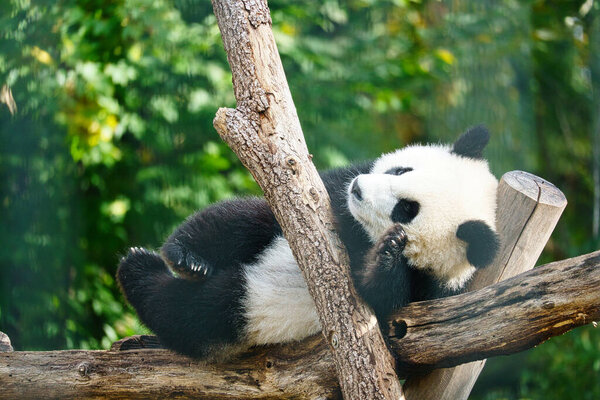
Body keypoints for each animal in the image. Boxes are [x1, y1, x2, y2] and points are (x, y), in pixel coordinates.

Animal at [116, 126, 496, 360]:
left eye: (405, 209)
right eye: (400, 171)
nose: (359, 190)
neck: (359, 231)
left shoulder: (428, 288)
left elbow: (377, 298)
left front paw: (388, 253)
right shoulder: (333, 189)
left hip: (254, 306)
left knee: (198, 312)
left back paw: (137, 270)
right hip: (271, 235)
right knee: (243, 221)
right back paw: (186, 258)